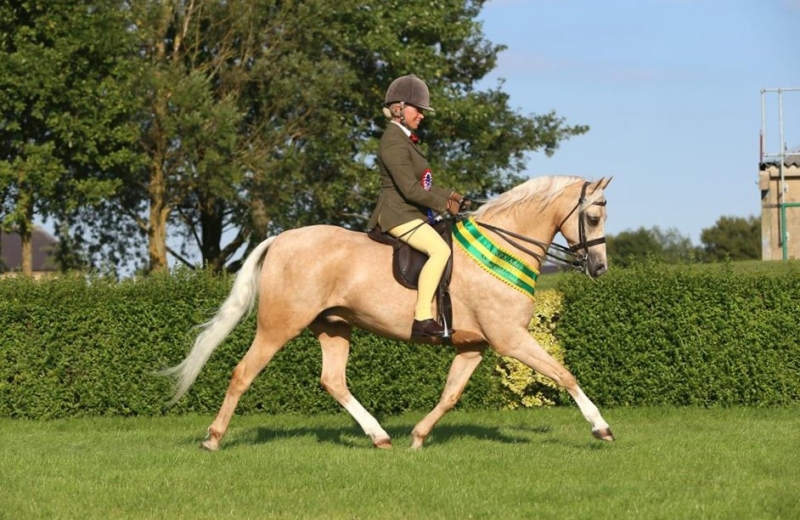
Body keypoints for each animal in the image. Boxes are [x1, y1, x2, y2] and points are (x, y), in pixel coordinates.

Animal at [161, 176, 612, 450]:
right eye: (592, 216)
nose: (599, 268)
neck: (501, 250)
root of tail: (281, 239)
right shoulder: (511, 338)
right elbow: (564, 374)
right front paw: (601, 427)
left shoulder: (475, 346)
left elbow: (450, 395)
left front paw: (418, 437)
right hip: (279, 326)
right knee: (243, 373)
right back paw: (213, 438)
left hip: (334, 327)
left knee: (333, 381)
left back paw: (379, 436)